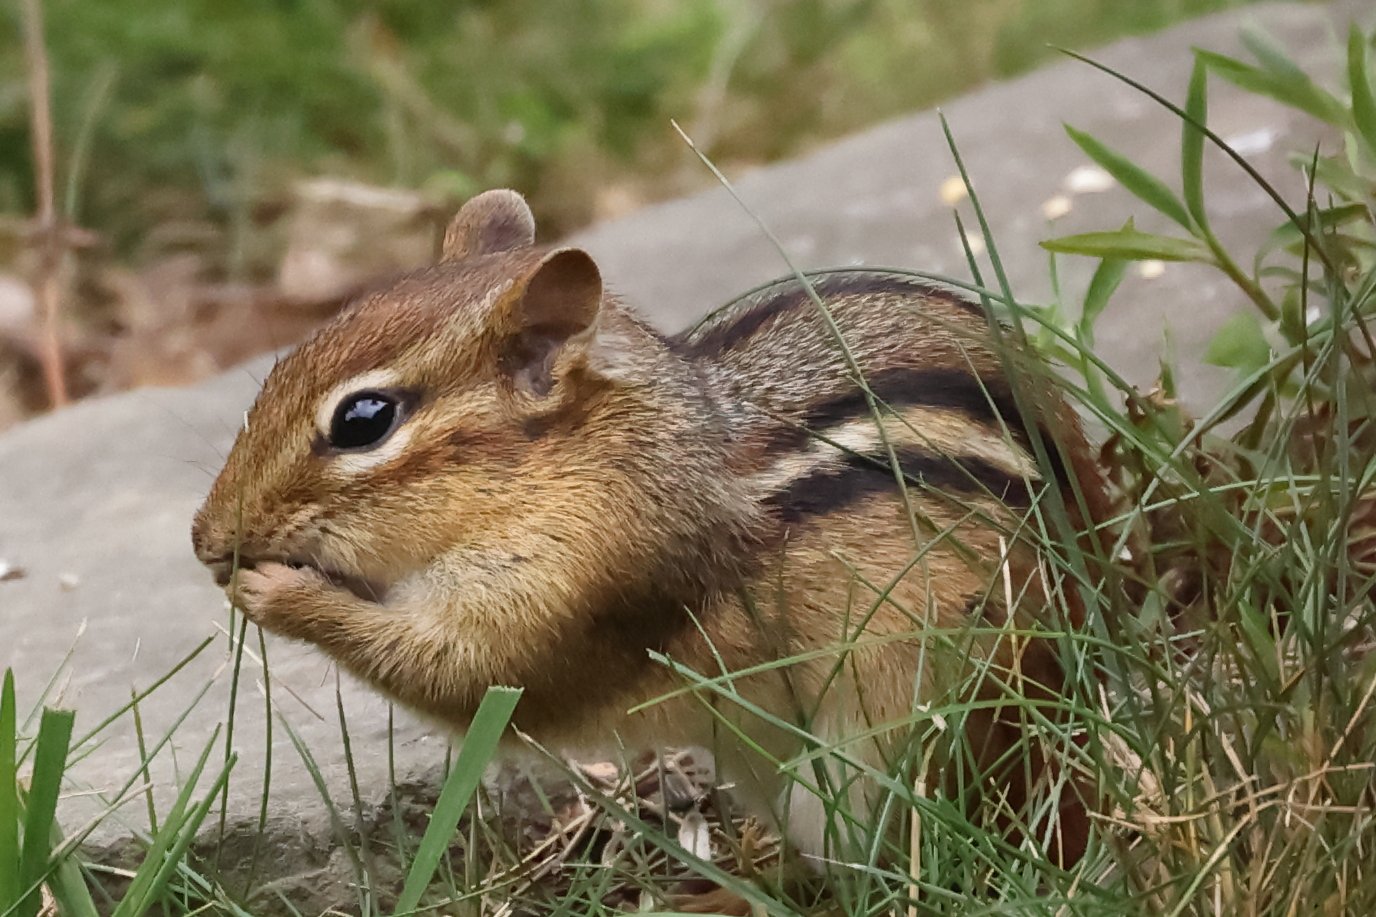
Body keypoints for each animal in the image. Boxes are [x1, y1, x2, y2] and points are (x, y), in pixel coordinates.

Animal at [192, 188, 1112, 868]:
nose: (204, 539)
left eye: (365, 419)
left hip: (888, 759)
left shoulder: (583, 583)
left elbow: (470, 674)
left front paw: (276, 593)